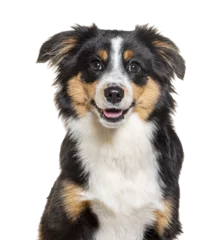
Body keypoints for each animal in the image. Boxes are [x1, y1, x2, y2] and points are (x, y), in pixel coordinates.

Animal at [35, 23, 186, 240]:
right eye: (96, 64)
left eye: (134, 66)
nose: (114, 93)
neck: (116, 143)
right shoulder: (62, 216)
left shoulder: (163, 219)